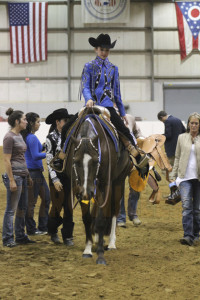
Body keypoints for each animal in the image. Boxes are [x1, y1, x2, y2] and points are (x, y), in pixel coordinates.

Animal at [63, 108, 132, 264]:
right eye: (76, 161)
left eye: (95, 161)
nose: (87, 192)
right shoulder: (78, 187)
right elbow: (87, 218)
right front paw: (88, 249)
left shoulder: (104, 185)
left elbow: (101, 220)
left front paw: (100, 255)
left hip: (117, 183)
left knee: (114, 211)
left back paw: (111, 243)